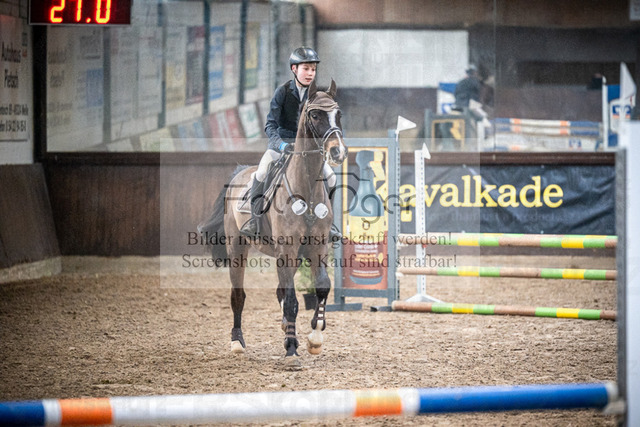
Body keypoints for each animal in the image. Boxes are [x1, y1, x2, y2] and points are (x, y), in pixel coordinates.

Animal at [199, 79, 348, 369]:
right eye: (315, 115)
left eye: (339, 115)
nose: (338, 152)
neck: (306, 187)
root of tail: (239, 173)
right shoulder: (287, 249)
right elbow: (291, 298)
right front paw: (291, 349)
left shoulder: (318, 247)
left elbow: (322, 286)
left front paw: (314, 338)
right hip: (238, 248)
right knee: (238, 295)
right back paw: (237, 342)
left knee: (280, 289)